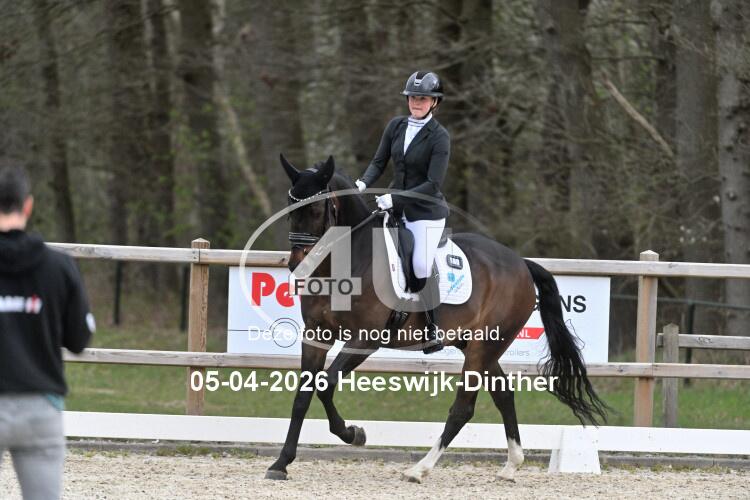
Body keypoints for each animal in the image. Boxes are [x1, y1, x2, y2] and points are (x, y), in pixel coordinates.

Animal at [265, 154, 607, 483]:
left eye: (316, 208)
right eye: (290, 208)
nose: (296, 265)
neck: (347, 261)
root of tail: (521, 263)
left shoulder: (364, 340)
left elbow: (325, 385)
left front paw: (354, 434)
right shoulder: (316, 335)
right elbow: (302, 396)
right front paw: (281, 463)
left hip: (484, 346)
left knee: (463, 409)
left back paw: (419, 470)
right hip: (478, 346)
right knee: (503, 394)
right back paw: (511, 466)